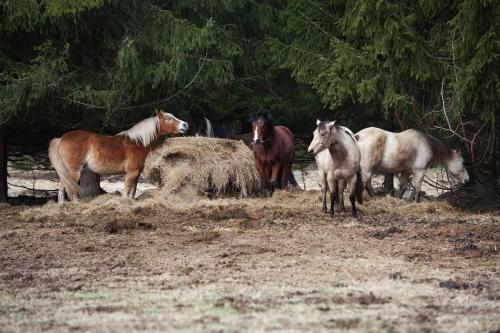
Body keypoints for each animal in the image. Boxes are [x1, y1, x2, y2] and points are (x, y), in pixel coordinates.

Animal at [48, 111, 188, 202]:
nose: (185, 125)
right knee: (69, 189)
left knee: (61, 187)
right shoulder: (131, 172)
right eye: (168, 118)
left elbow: (133, 191)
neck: (137, 143)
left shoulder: (136, 173)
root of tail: (61, 139)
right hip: (74, 171)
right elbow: (126, 190)